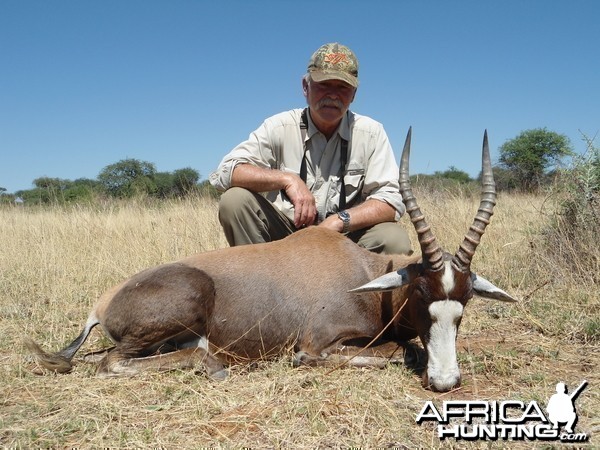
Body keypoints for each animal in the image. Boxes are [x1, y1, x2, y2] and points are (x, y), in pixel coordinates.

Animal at [25, 129, 516, 390]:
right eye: (419, 293)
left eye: (464, 304)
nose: (446, 382)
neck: (362, 275)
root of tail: (103, 303)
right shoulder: (317, 344)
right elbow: (401, 349)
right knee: (113, 362)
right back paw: (214, 366)